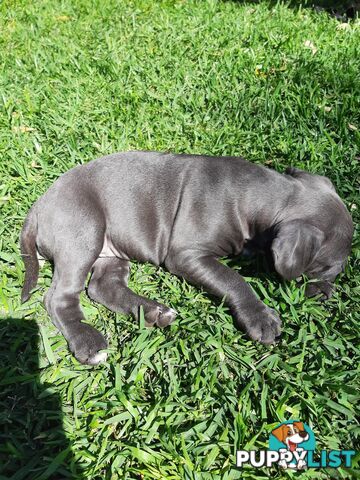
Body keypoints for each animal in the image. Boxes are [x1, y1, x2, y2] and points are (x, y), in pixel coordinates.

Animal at [20, 152, 352, 366]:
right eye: (328, 268)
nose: (329, 295)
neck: (262, 197)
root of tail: (39, 205)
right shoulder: (186, 254)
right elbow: (232, 279)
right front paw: (259, 317)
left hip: (112, 247)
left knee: (103, 286)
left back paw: (153, 312)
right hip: (83, 231)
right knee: (58, 297)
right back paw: (87, 341)